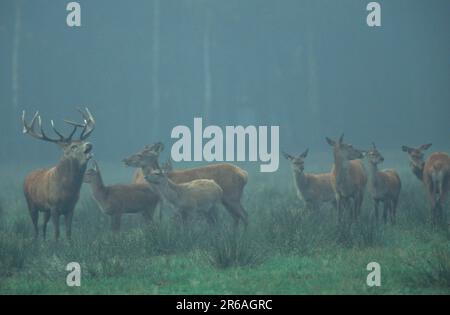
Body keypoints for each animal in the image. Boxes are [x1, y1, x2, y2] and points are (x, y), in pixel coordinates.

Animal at [22, 108, 94, 239]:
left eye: (83, 141)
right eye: (73, 146)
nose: (89, 144)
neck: (67, 191)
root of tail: (28, 175)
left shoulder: (71, 207)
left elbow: (69, 232)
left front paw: (69, 244)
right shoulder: (54, 206)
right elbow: (56, 232)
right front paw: (56, 244)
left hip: (46, 210)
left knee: (43, 225)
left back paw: (44, 241)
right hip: (31, 203)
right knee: (35, 227)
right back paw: (36, 241)